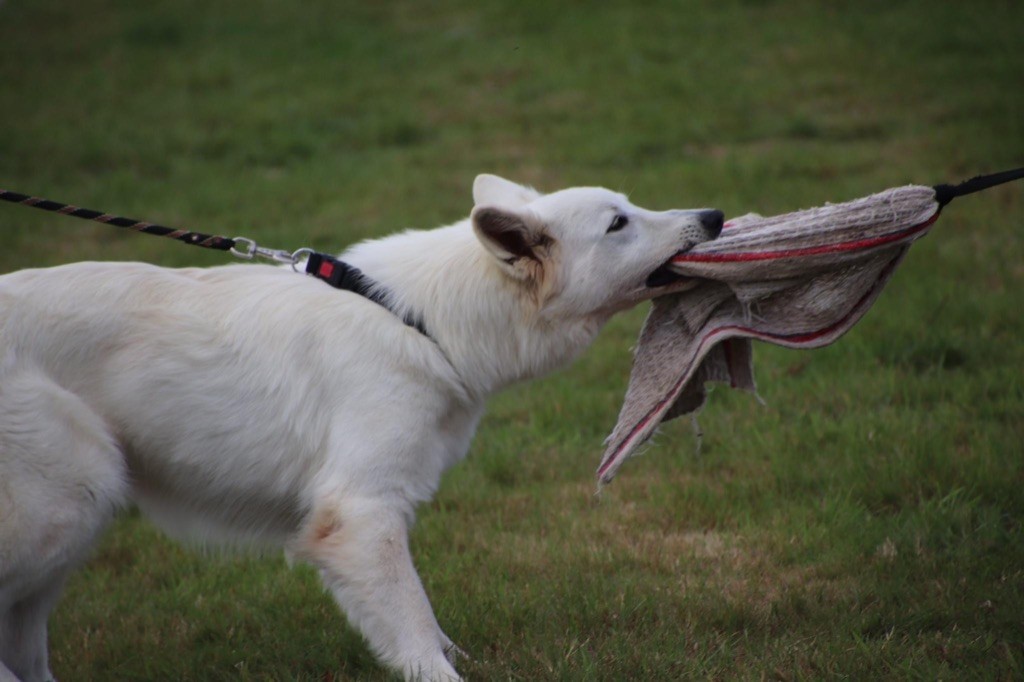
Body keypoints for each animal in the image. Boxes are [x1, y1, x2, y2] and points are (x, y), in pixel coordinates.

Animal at [0, 176, 720, 679]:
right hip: (73, 496)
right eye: (618, 222)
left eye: (629, 207)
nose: (714, 216)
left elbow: (427, 624)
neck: (422, 321)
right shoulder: (359, 515)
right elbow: (415, 627)